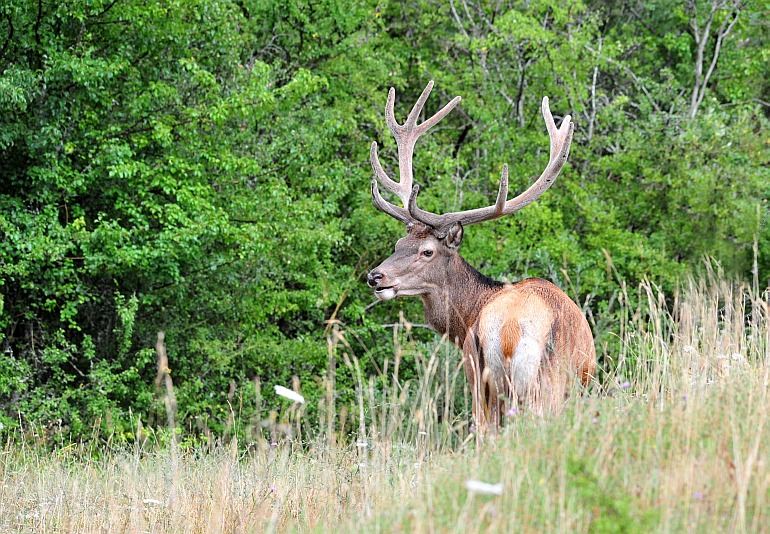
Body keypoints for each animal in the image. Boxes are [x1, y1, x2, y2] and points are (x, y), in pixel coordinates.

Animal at [366, 82, 592, 436]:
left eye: (426, 250)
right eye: (399, 242)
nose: (375, 276)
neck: (464, 319)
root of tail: (510, 330)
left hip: (490, 376)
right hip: (538, 381)